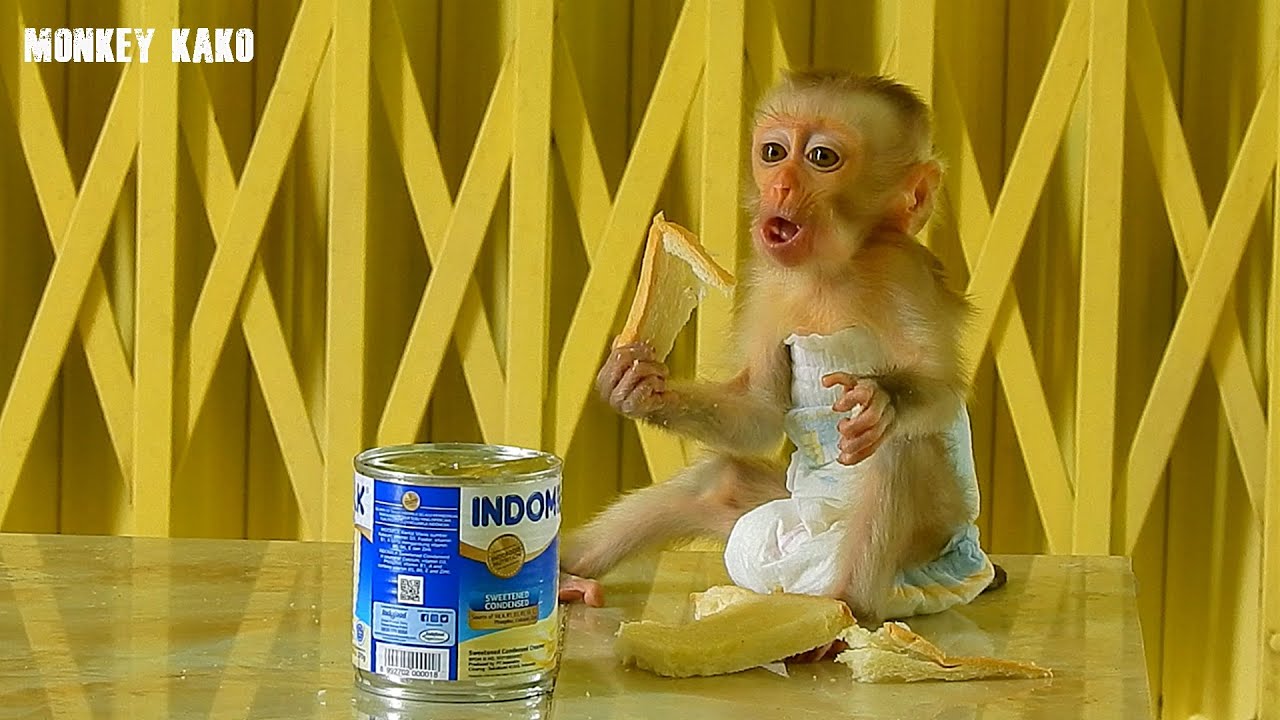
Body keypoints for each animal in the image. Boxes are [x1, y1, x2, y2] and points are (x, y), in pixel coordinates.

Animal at [558, 71, 1004, 627]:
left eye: (821, 158)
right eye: (773, 152)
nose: (781, 186)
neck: (831, 270)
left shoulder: (903, 270)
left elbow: (939, 388)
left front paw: (882, 399)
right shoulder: (768, 282)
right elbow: (761, 413)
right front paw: (638, 387)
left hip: (930, 553)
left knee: (898, 449)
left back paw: (844, 606)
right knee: (717, 481)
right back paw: (565, 574)